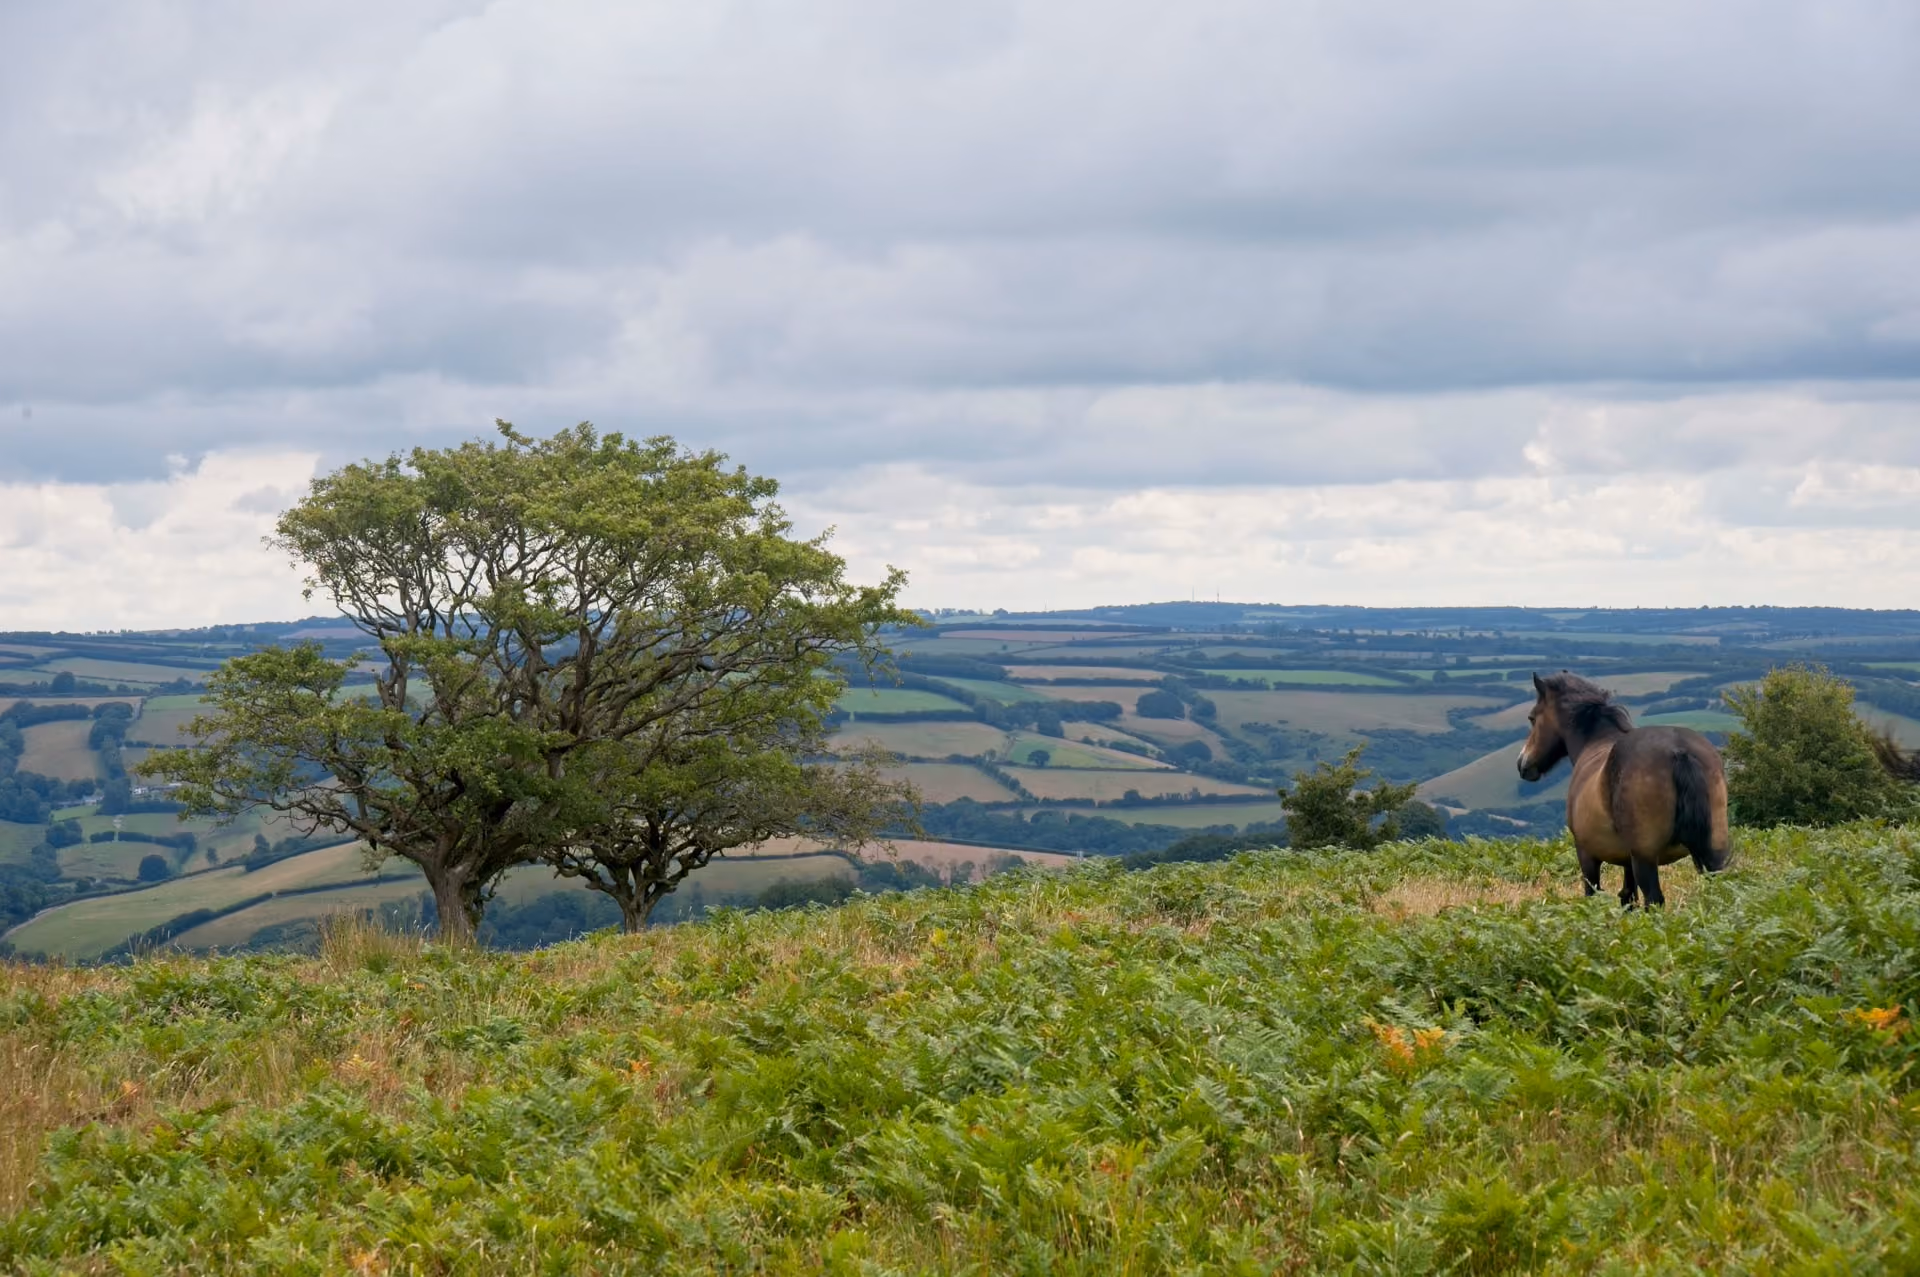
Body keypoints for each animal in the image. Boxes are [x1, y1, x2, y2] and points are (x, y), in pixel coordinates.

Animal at [1517, 671, 1729, 907]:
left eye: (1532, 718)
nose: (1522, 764)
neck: (1594, 743)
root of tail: (1678, 751)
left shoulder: (1586, 855)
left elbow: (1594, 893)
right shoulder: (1626, 861)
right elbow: (1628, 896)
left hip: (1645, 859)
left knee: (1653, 899)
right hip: (1712, 853)